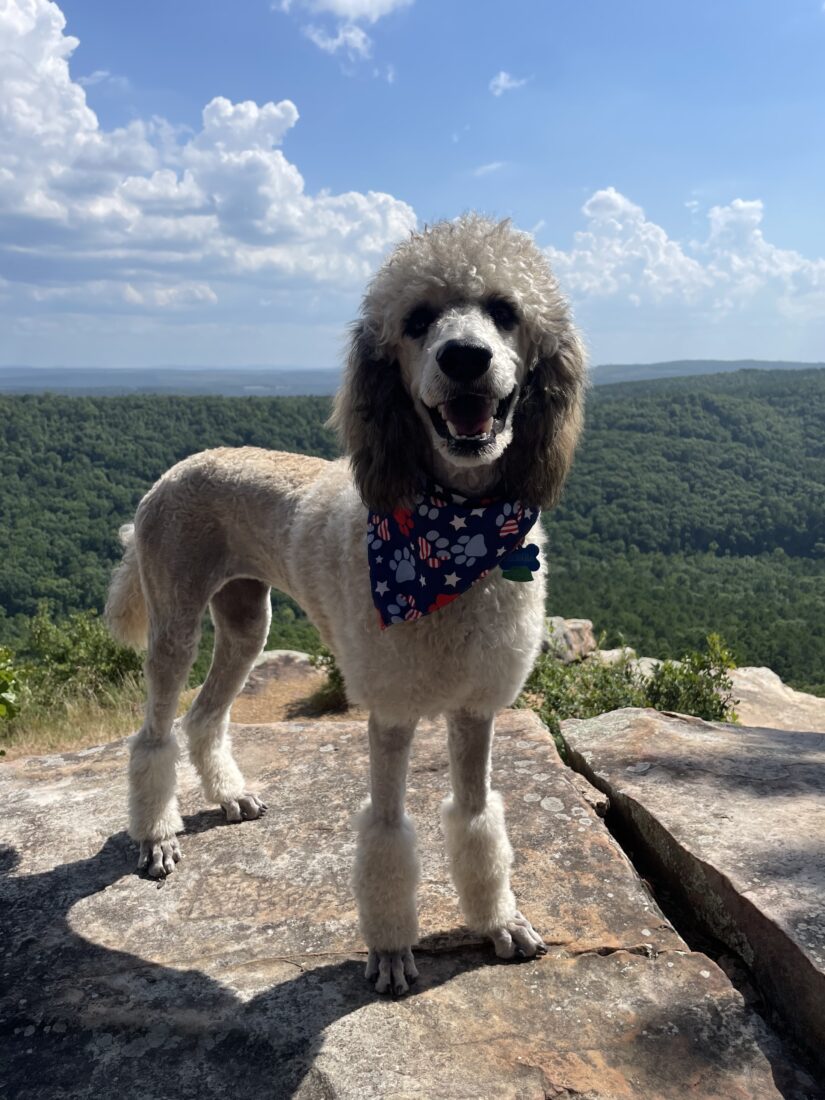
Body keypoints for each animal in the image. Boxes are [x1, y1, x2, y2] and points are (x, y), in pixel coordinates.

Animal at [106, 216, 589, 998]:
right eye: (416, 320)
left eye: (506, 310)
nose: (464, 358)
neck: (455, 530)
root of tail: (171, 472)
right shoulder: (390, 713)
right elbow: (387, 837)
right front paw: (391, 951)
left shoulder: (475, 707)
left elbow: (477, 818)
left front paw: (497, 922)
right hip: (174, 618)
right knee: (154, 733)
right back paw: (156, 837)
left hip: (245, 622)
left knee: (206, 715)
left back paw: (231, 795)